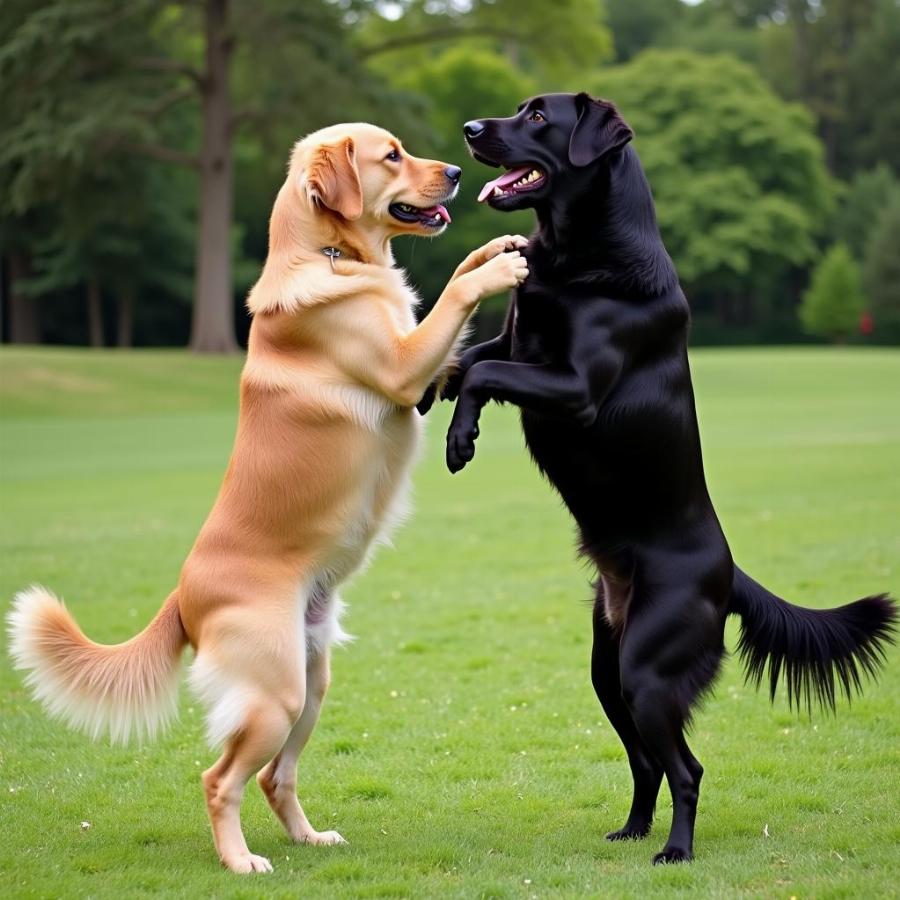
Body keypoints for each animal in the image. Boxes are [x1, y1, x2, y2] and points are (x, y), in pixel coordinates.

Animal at [7, 123, 528, 876]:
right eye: (392, 156)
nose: (457, 172)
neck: (328, 256)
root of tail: (182, 596)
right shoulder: (403, 368)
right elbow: (456, 295)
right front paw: (496, 270)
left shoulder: (422, 368)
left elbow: (456, 281)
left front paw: (497, 247)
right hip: (276, 694)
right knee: (220, 778)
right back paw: (240, 860)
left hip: (311, 680)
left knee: (273, 777)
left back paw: (308, 838)